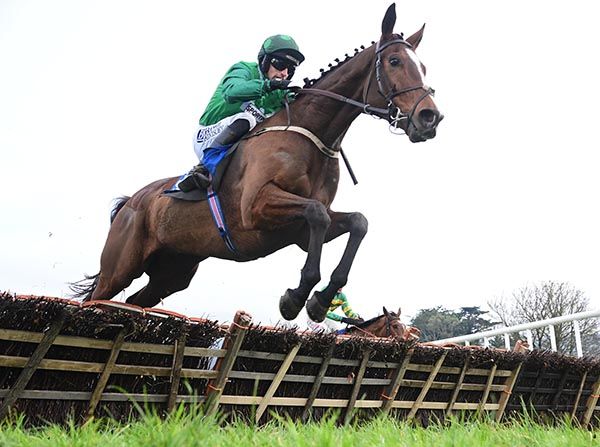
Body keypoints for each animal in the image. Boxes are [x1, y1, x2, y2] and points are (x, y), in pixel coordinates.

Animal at [74, 4, 440, 326]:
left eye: (423, 67)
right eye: (394, 61)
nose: (430, 117)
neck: (311, 134)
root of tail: (129, 203)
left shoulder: (300, 232)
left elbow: (357, 222)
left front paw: (319, 300)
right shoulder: (257, 207)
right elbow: (318, 216)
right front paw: (295, 297)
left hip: (173, 271)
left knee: (135, 302)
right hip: (120, 267)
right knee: (98, 297)